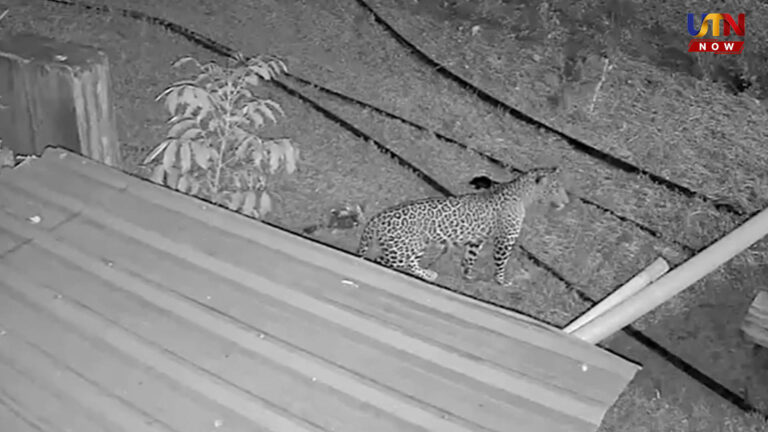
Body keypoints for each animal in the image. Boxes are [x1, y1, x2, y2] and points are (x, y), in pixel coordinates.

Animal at [356, 167, 569, 286]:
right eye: (556, 188)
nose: (567, 201)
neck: (524, 196)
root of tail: (377, 218)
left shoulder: (477, 238)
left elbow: (470, 257)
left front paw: (467, 275)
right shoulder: (505, 240)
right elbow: (501, 263)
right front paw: (501, 281)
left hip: (418, 245)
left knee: (410, 263)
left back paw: (428, 274)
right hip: (402, 250)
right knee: (381, 260)